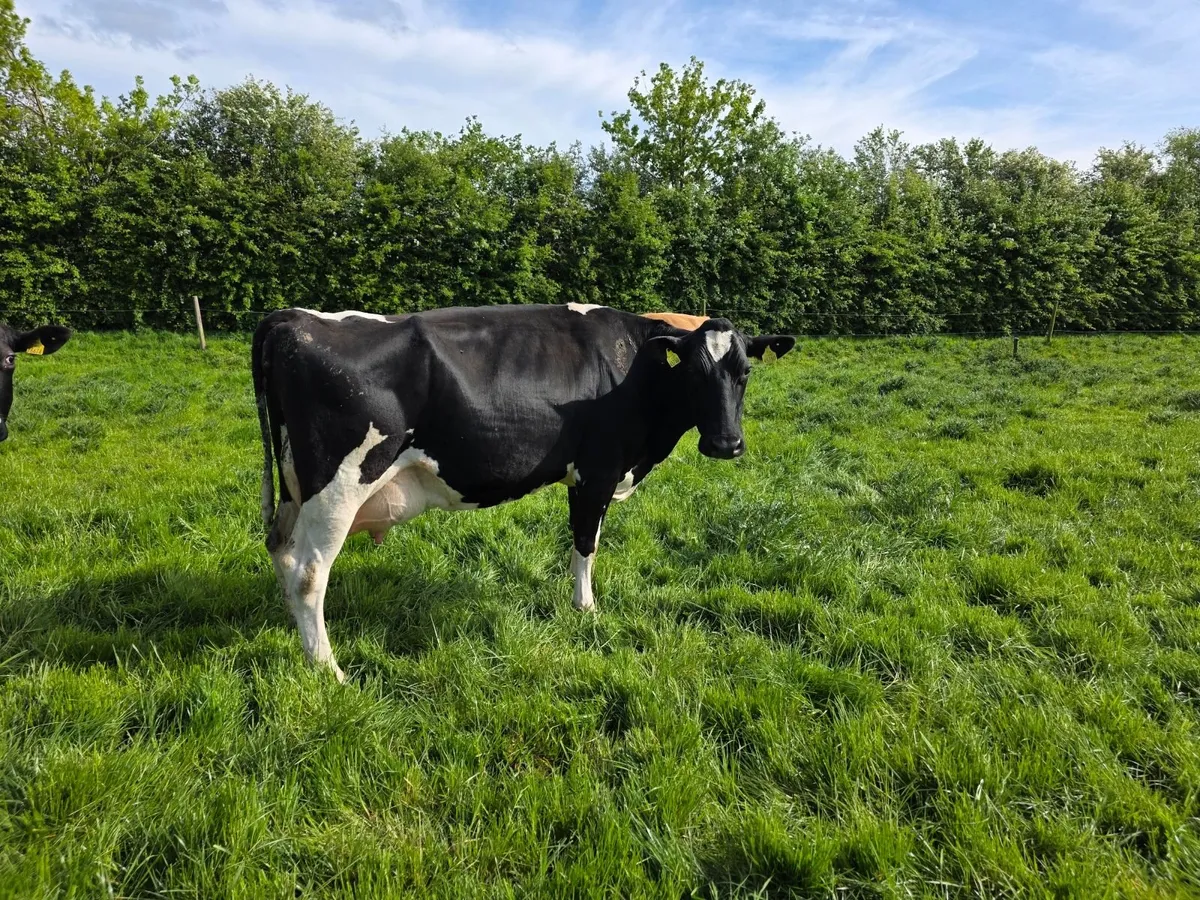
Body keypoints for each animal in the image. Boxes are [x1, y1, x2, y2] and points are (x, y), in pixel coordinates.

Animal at [252, 303, 795, 680]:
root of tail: (291, 317)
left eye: (745, 373)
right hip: (338, 486)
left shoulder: (581, 475)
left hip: (294, 489)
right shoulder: (599, 470)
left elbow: (577, 540)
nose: (726, 444)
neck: (636, 369)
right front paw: (586, 610)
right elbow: (586, 543)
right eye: (694, 373)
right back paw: (328, 669)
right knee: (309, 572)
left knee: (281, 552)